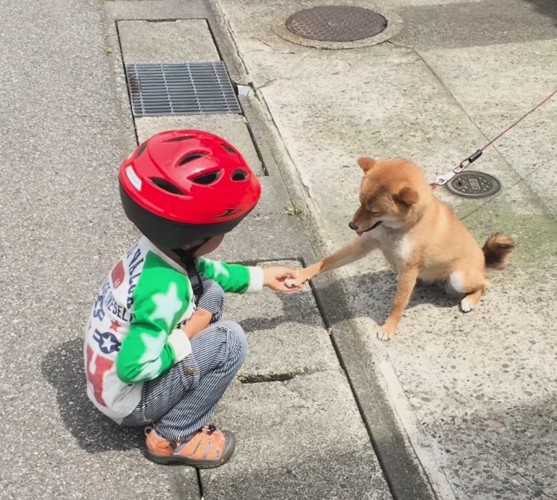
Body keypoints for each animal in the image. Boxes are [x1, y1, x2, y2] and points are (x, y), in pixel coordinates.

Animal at [292, 157, 512, 340]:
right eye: (360, 202)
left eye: (375, 211)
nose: (352, 226)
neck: (398, 229)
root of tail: (482, 262)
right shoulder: (364, 245)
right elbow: (327, 261)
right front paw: (301, 274)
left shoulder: (409, 268)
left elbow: (398, 303)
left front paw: (389, 327)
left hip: (459, 278)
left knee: (485, 284)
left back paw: (470, 300)